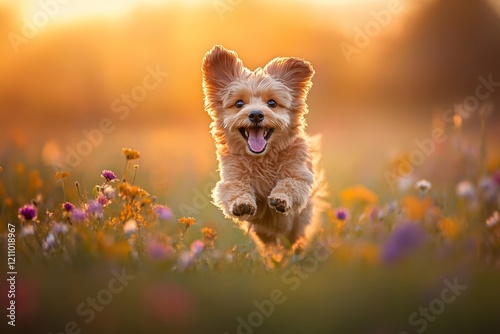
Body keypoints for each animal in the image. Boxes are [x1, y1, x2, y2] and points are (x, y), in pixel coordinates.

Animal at [201, 45, 326, 256]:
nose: (256, 114)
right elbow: (235, 189)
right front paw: (242, 203)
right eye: (239, 103)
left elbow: (290, 184)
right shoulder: (231, 178)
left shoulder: (300, 176)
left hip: (297, 228)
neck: (262, 158)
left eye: (272, 103)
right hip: (264, 233)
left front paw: (280, 198)